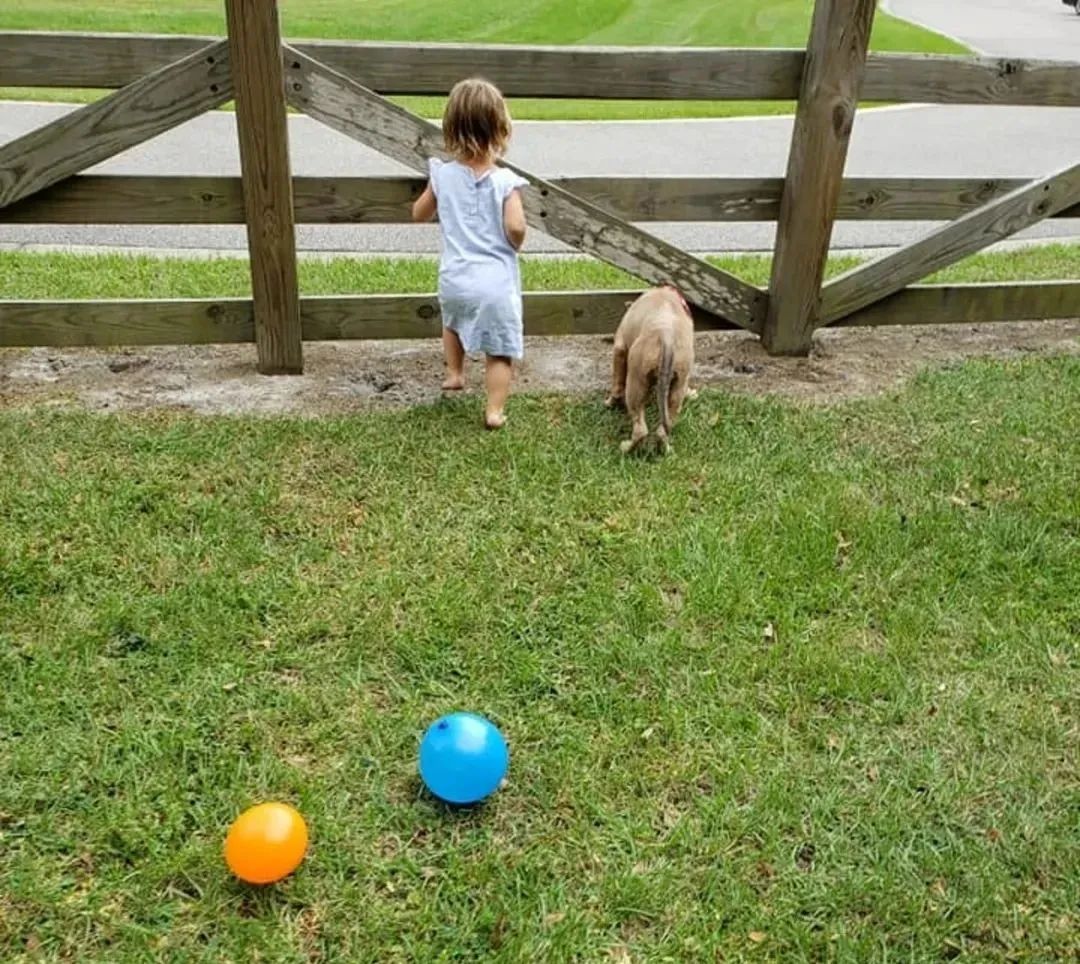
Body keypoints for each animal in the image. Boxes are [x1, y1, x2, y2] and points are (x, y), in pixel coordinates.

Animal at [604, 284, 695, 453]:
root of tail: (667, 337)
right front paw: (691, 393)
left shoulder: (619, 348)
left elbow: (617, 383)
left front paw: (610, 402)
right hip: (678, 382)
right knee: (664, 426)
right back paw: (665, 449)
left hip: (637, 381)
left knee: (640, 429)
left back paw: (626, 448)